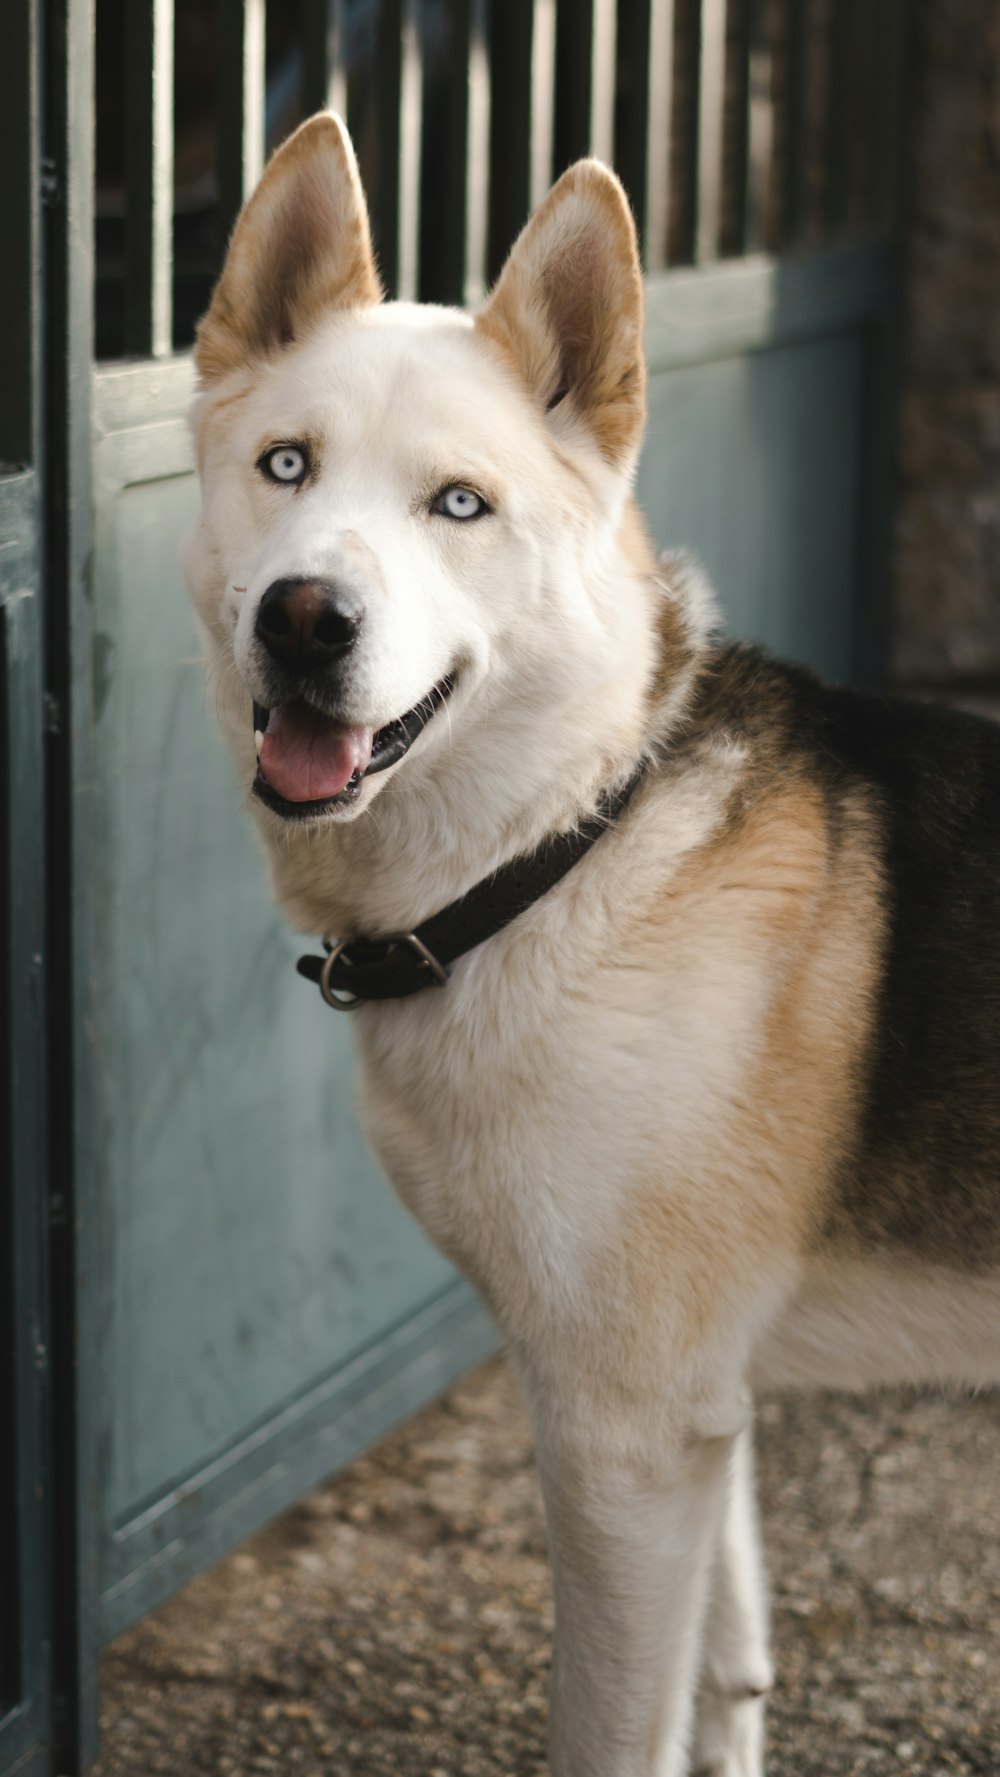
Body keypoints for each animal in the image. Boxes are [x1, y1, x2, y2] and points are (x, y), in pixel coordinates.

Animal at [188, 114, 1000, 1777]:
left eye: (460, 505)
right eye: (285, 465)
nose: (304, 619)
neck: (572, 844)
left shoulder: (622, 1433)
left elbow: (613, 1726)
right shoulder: (698, 1420)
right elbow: (726, 1672)